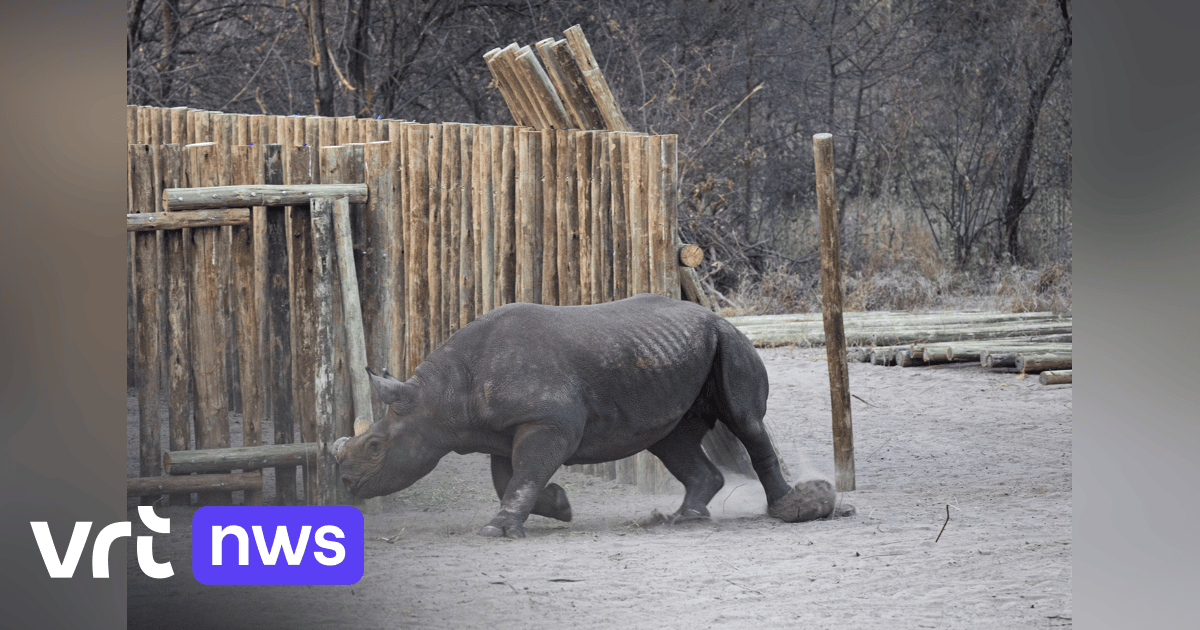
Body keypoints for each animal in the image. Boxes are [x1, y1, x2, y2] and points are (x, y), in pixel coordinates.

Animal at [334, 293, 836, 538]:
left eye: (375, 446)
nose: (346, 484)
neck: (440, 396)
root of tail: (719, 315)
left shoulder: (548, 422)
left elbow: (522, 475)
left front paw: (497, 530)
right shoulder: (504, 430)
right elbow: (511, 477)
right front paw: (559, 507)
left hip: (729, 341)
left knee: (745, 422)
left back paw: (792, 509)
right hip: (675, 355)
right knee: (671, 440)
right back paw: (682, 518)